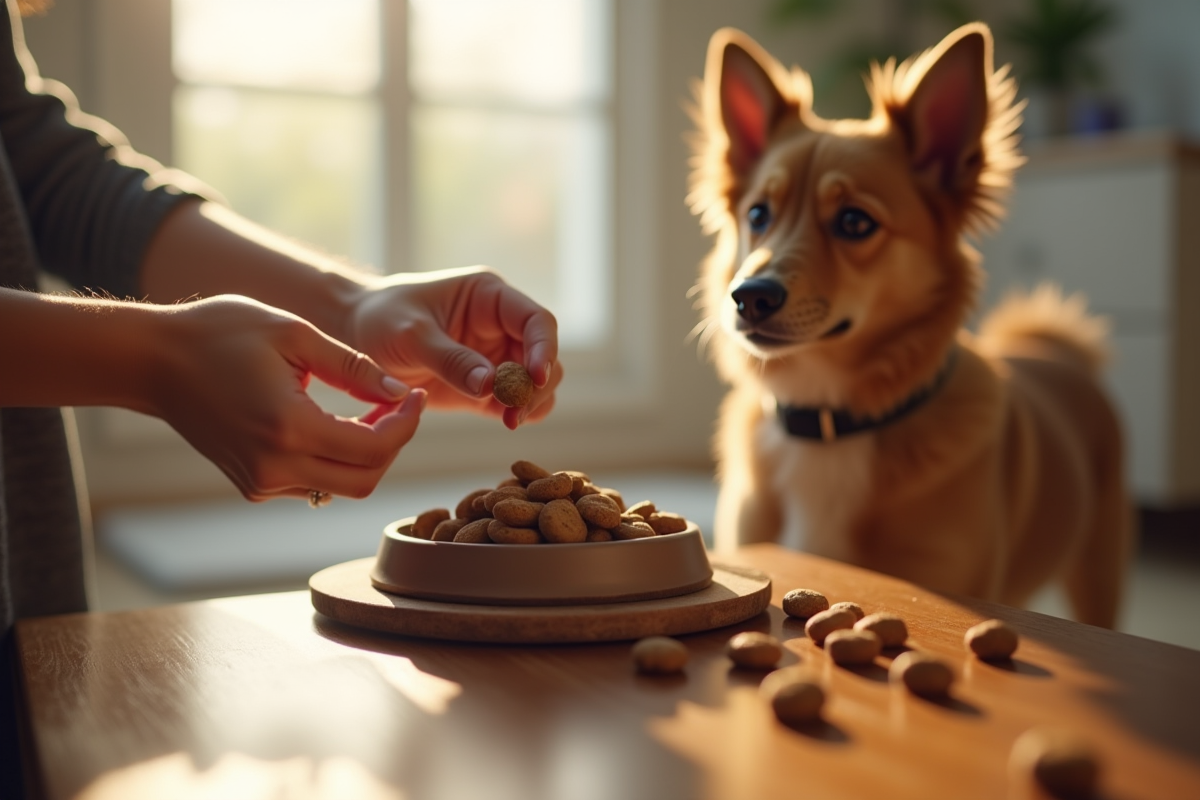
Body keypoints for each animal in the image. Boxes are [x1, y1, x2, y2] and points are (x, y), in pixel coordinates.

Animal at [696, 21, 1132, 628]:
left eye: (855, 222)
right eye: (758, 214)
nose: (748, 297)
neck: (832, 421)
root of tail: (1052, 350)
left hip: (1098, 566)